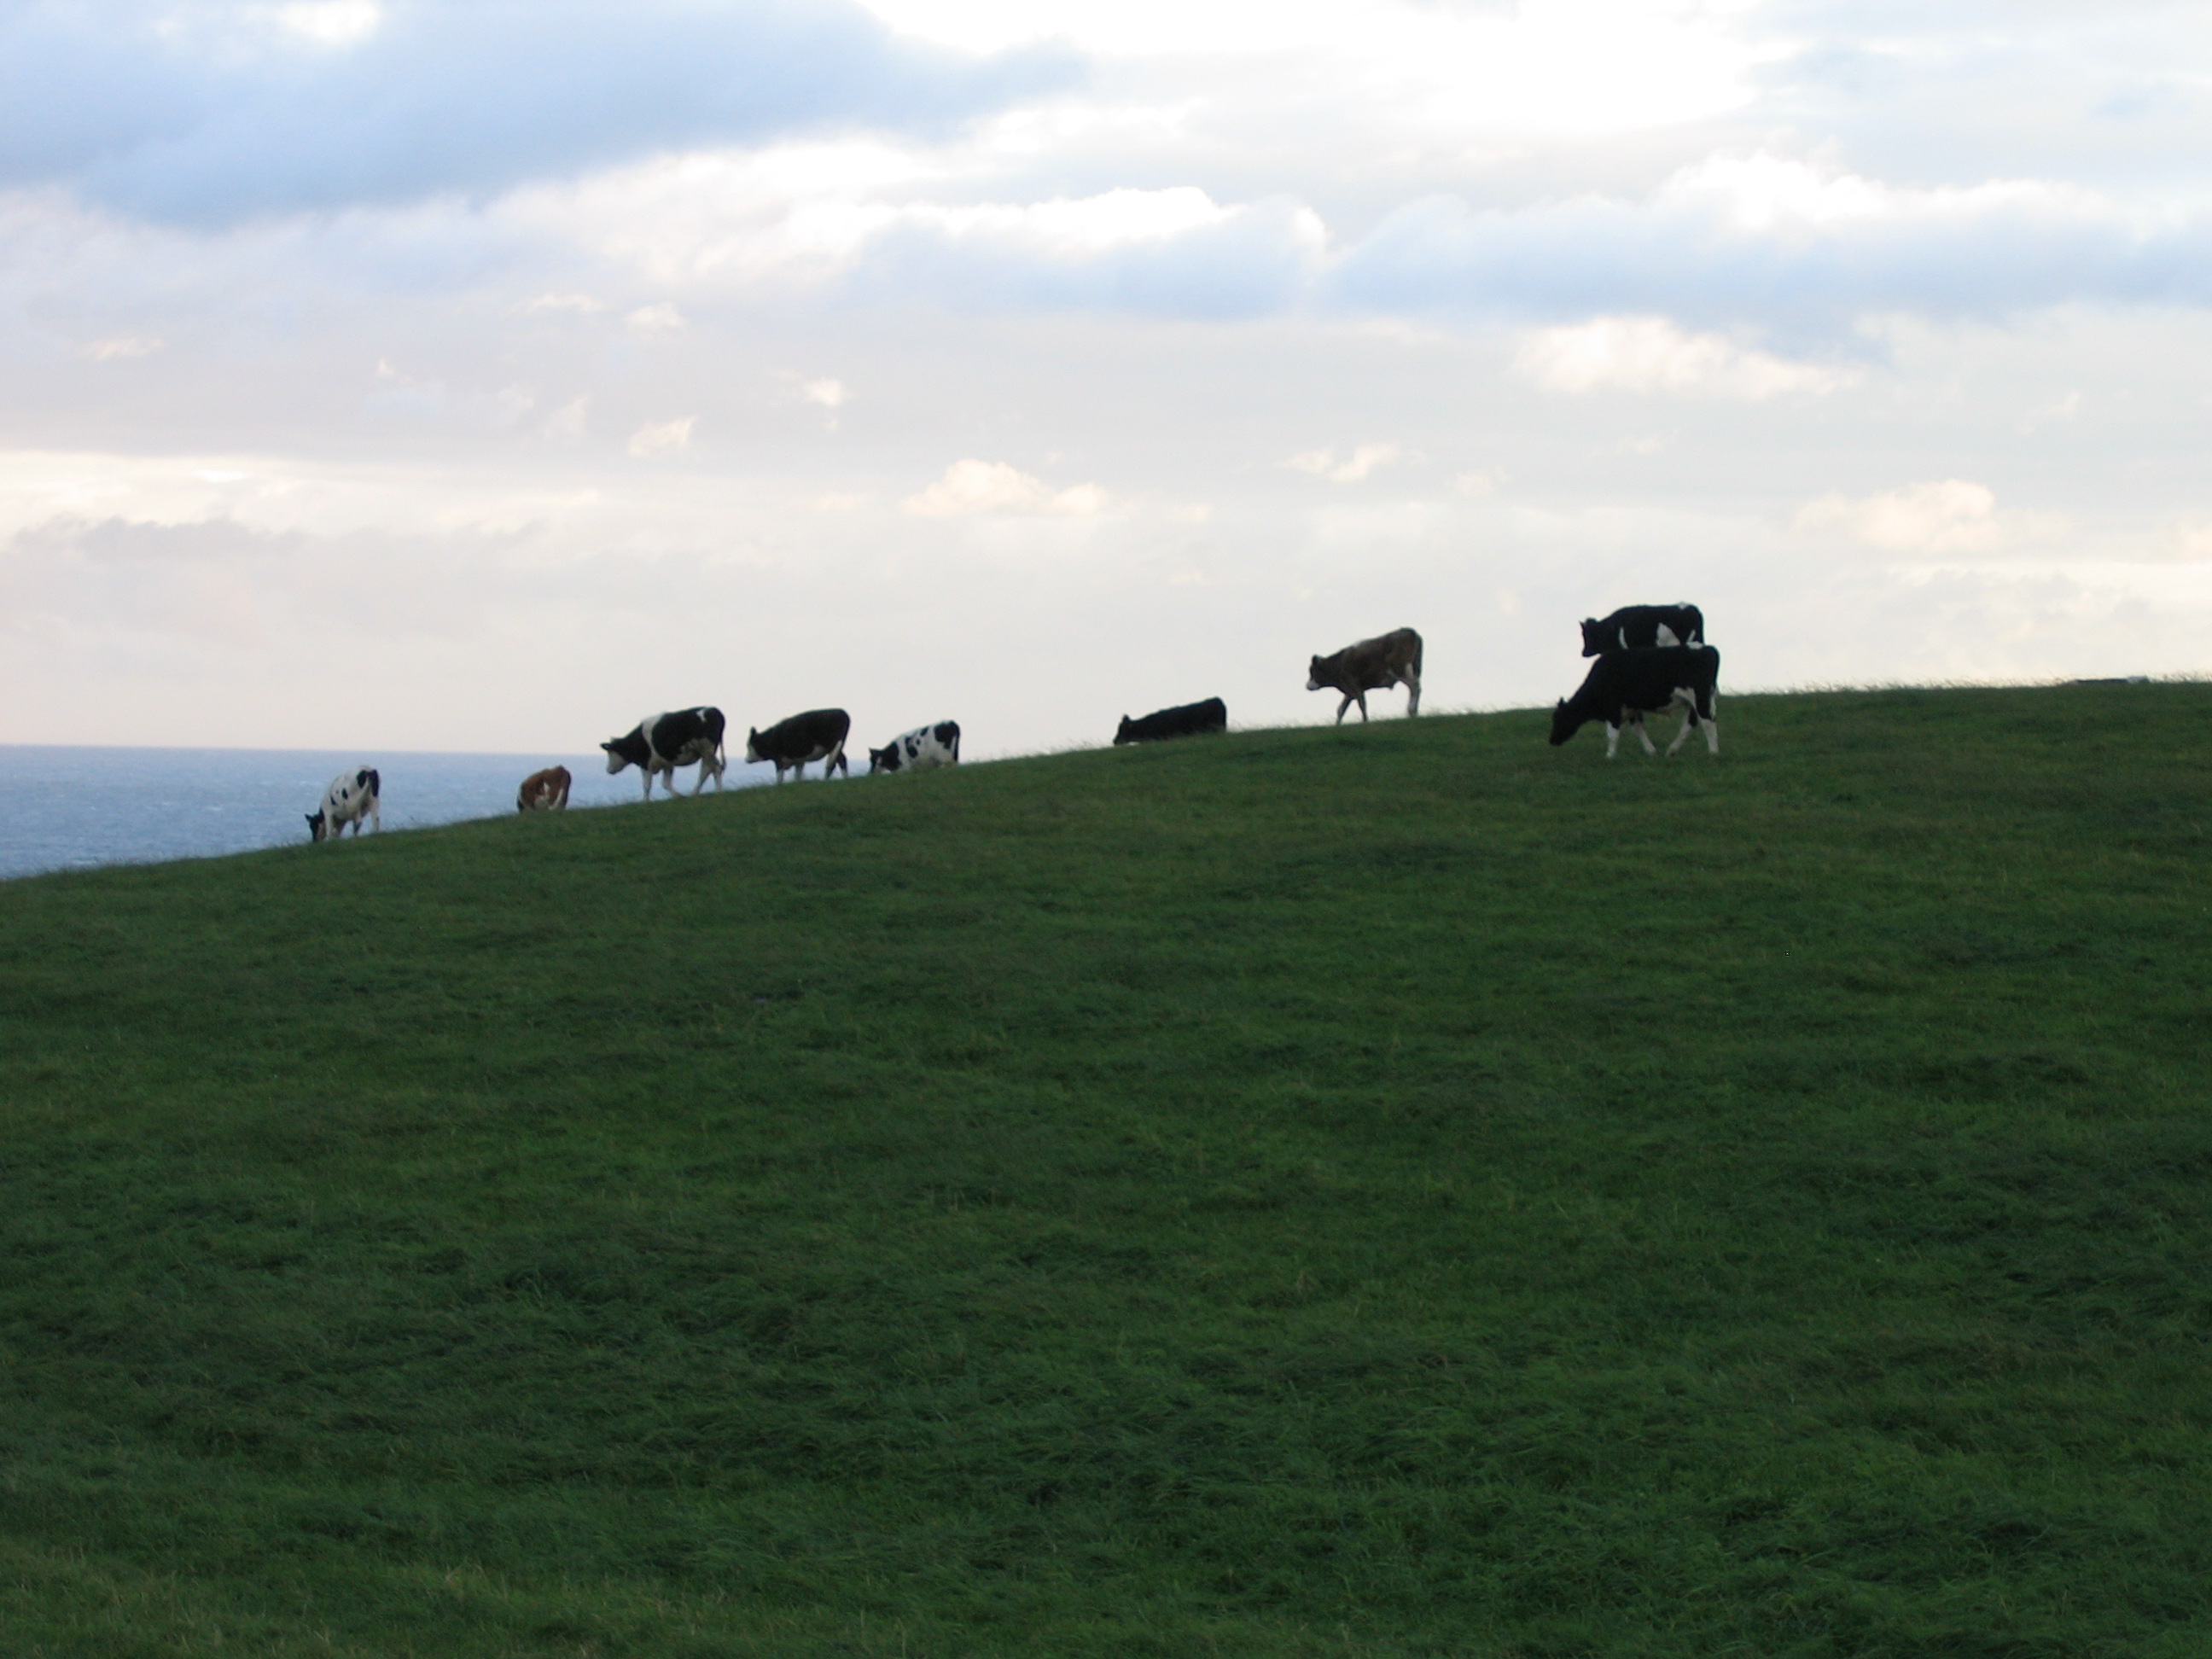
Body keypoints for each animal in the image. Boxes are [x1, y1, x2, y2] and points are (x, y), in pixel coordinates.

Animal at [602, 703, 730, 800]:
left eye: (610, 753)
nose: (608, 770)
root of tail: (714, 710)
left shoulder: (645, 764)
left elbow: (647, 785)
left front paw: (645, 801)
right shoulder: (667, 763)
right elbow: (666, 783)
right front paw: (678, 796)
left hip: (706, 749)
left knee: (714, 768)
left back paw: (718, 791)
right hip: (705, 752)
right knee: (707, 770)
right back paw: (696, 792)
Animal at [1301, 628, 1424, 725]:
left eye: (1312, 671)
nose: (1307, 686)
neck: (1339, 663)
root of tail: (1410, 631)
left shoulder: (1354, 686)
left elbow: (1362, 705)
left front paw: (1365, 721)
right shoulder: (1349, 691)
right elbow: (1341, 709)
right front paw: (1337, 725)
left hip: (1401, 669)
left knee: (1414, 686)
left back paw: (1411, 710)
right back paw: (1415, 712)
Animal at [1548, 645, 1716, 765]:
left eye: (1558, 718)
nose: (1552, 740)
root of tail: (1707, 648)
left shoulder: (1613, 709)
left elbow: (1612, 735)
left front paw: (1609, 756)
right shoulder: (1632, 709)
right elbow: (1638, 729)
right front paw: (1651, 751)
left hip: (1700, 698)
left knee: (1708, 722)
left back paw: (1713, 752)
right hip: (1692, 702)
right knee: (1690, 724)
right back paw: (1672, 751)